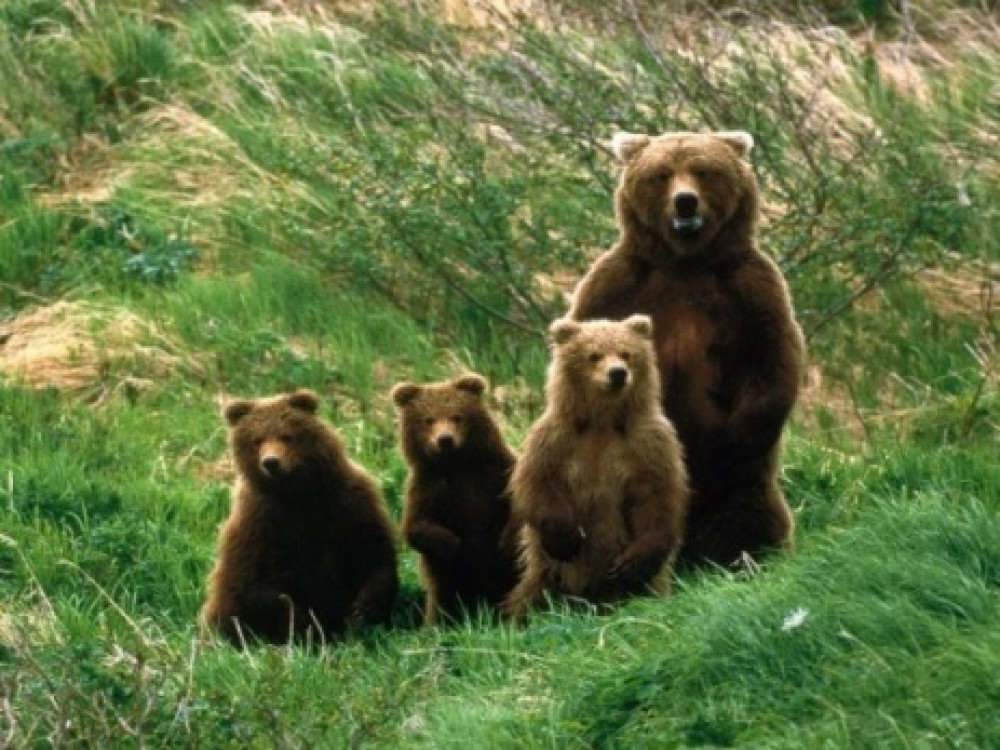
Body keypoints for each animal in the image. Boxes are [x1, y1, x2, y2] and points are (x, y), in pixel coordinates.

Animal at [201, 388, 400, 648]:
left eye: (286, 435)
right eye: (257, 439)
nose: (271, 462)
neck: (298, 493)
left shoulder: (349, 503)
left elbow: (374, 552)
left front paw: (362, 609)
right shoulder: (259, 520)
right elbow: (253, 580)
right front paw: (305, 624)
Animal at [390, 374, 520, 624]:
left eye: (457, 416)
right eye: (429, 419)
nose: (445, 439)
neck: (456, 465)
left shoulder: (495, 473)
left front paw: (504, 541)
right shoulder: (428, 489)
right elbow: (415, 527)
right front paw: (453, 545)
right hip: (447, 589)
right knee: (442, 603)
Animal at [504, 318, 692, 616]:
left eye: (627, 353)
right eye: (594, 355)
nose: (617, 373)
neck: (603, 421)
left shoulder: (649, 443)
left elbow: (657, 496)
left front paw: (634, 563)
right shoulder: (557, 439)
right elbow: (536, 483)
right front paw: (567, 538)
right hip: (548, 572)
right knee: (531, 594)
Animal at [568, 131, 808, 568]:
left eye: (703, 170)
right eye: (662, 174)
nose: (685, 202)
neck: (686, 262)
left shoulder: (748, 287)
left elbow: (772, 356)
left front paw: (738, 439)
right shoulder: (616, 285)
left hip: (742, 493)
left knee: (751, 517)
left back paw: (747, 557)